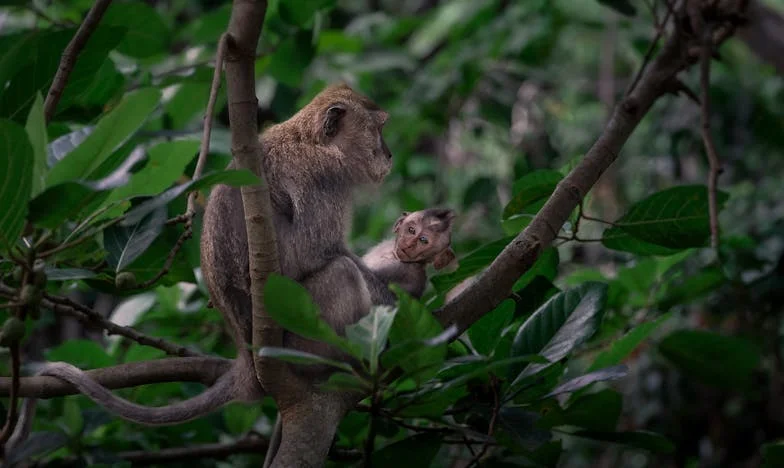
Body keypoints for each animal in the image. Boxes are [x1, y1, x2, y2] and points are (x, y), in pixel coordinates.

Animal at [8, 85, 396, 450]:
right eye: (379, 130)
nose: (389, 154)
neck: (311, 139)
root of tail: (248, 360)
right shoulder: (321, 177)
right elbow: (315, 252)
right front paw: (395, 298)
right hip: (300, 342)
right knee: (342, 273)